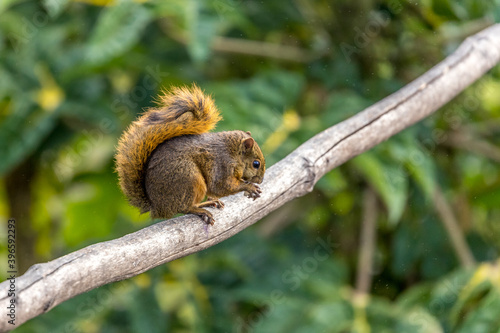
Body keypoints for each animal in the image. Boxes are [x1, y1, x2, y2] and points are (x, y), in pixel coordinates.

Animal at [115, 83, 266, 224]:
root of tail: (157, 207)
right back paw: (200, 210)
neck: (232, 151)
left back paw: (209, 202)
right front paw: (249, 186)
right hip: (189, 178)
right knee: (184, 208)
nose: (260, 181)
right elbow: (221, 186)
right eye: (256, 164)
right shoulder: (222, 163)